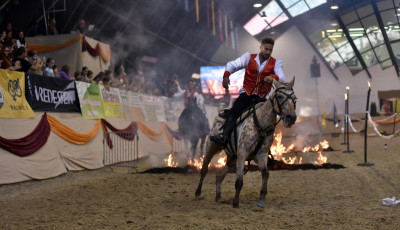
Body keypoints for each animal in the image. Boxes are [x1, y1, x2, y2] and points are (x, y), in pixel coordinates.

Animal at [194, 77, 296, 208]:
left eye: (295, 98)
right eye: (280, 96)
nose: (291, 117)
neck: (261, 124)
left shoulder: (261, 155)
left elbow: (265, 173)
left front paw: (261, 199)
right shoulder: (242, 153)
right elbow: (239, 181)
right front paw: (236, 202)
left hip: (232, 156)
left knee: (219, 176)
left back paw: (218, 195)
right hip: (211, 147)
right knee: (204, 168)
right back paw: (198, 192)